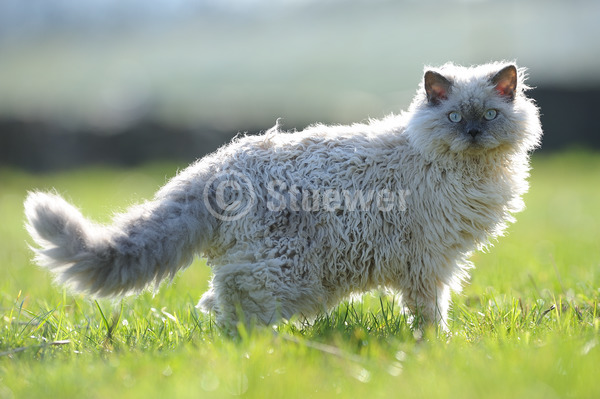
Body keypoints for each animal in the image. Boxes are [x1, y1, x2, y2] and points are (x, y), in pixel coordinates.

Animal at [24, 62, 544, 332]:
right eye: (455, 118)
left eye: (490, 116)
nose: (473, 133)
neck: (468, 172)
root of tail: (216, 165)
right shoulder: (429, 262)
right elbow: (431, 313)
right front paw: (438, 345)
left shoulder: (435, 260)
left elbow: (430, 312)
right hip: (282, 269)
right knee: (229, 306)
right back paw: (264, 351)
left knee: (216, 305)